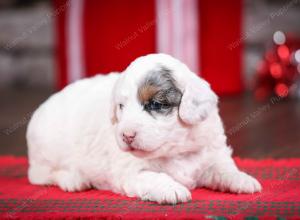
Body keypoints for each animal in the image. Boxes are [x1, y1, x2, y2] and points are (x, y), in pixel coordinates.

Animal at [27, 53, 262, 205]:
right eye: (121, 106)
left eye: (156, 104)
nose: (126, 135)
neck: (176, 151)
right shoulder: (130, 171)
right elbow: (154, 177)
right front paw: (172, 189)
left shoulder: (211, 154)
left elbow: (224, 169)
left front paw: (243, 179)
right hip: (45, 153)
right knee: (42, 175)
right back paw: (74, 180)